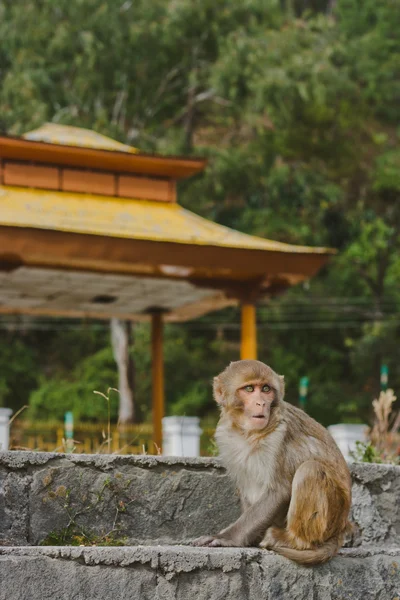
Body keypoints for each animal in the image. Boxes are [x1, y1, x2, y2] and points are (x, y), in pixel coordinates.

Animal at [195, 360, 352, 568]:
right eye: (249, 389)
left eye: (266, 389)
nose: (261, 403)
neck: (248, 433)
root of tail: (340, 530)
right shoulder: (225, 436)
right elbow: (245, 485)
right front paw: (248, 538)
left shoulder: (279, 435)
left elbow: (278, 491)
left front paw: (226, 537)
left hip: (332, 518)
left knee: (310, 470)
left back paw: (293, 540)